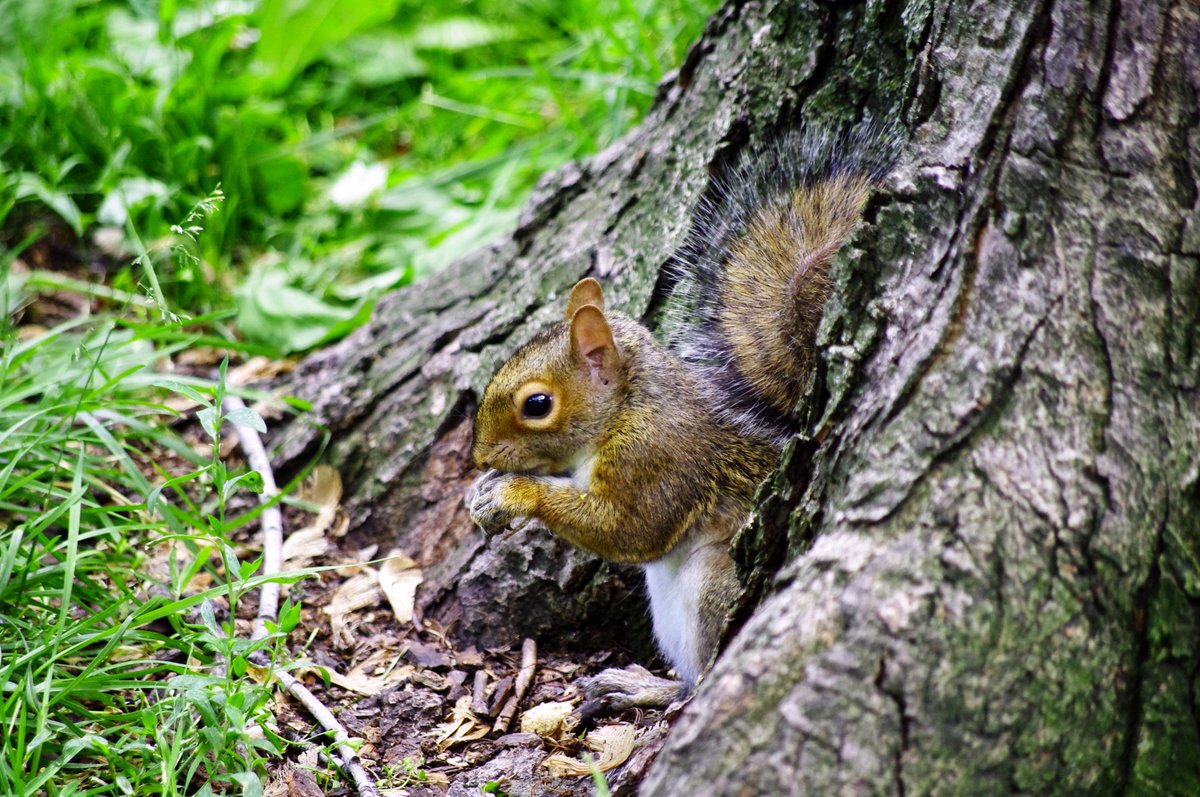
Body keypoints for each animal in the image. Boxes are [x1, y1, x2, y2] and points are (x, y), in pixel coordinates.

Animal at [467, 126, 894, 710]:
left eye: (536, 405)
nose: (478, 456)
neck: (628, 408)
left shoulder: (661, 456)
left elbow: (631, 529)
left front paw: (514, 494)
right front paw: (483, 491)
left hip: (714, 581)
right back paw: (641, 685)